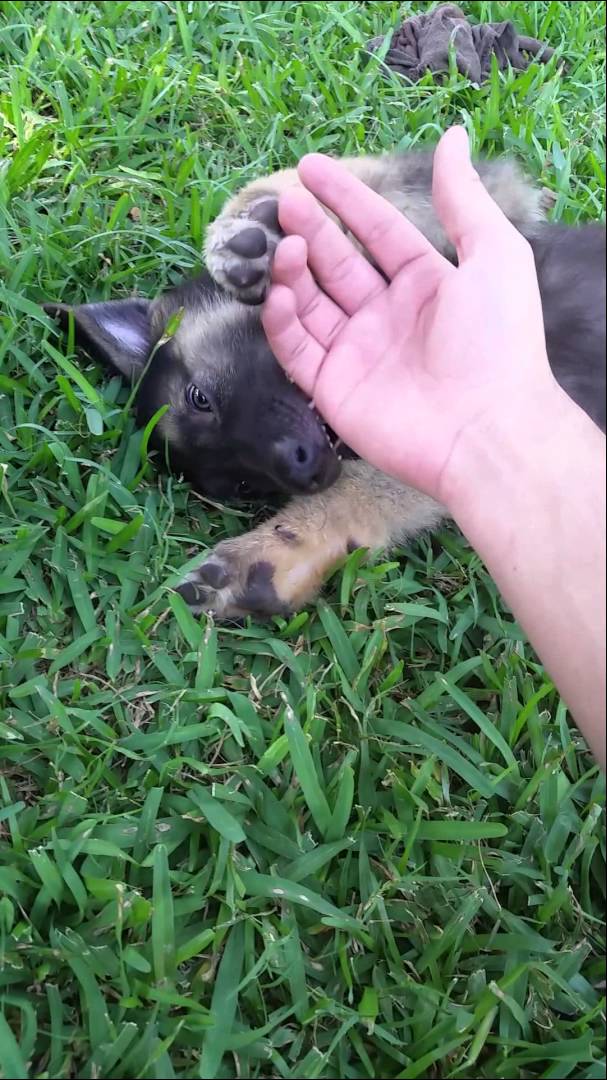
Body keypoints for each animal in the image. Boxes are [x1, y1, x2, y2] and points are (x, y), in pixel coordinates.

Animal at [43, 153, 604, 626]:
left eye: (200, 397)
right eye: (242, 487)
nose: (306, 470)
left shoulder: (501, 210)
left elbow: (375, 187)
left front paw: (263, 220)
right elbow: (368, 492)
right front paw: (271, 559)